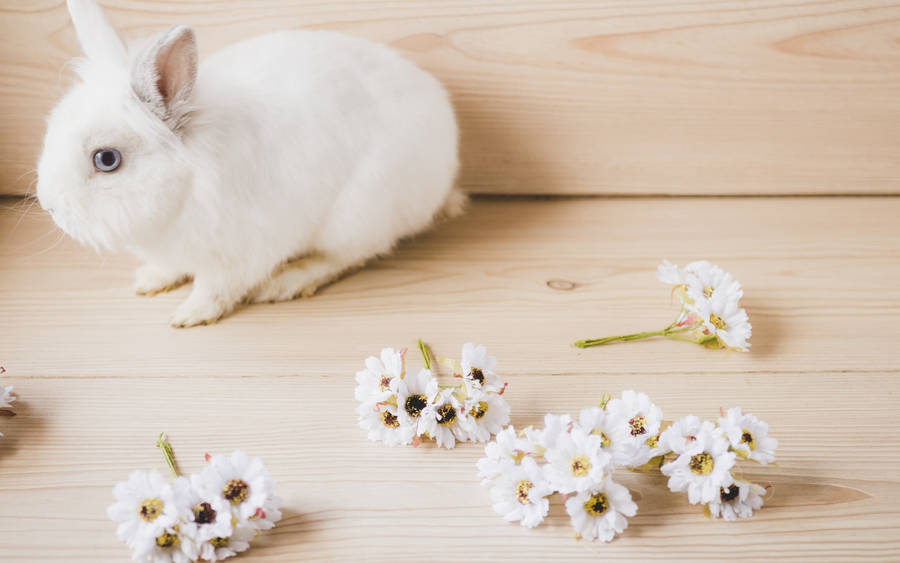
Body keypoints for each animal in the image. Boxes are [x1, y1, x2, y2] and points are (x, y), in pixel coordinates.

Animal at [35, 1, 460, 326]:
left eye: (106, 159)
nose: (49, 206)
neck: (186, 188)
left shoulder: (237, 255)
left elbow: (216, 289)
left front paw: (190, 314)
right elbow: (172, 268)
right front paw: (150, 280)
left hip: (357, 214)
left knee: (351, 255)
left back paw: (288, 282)